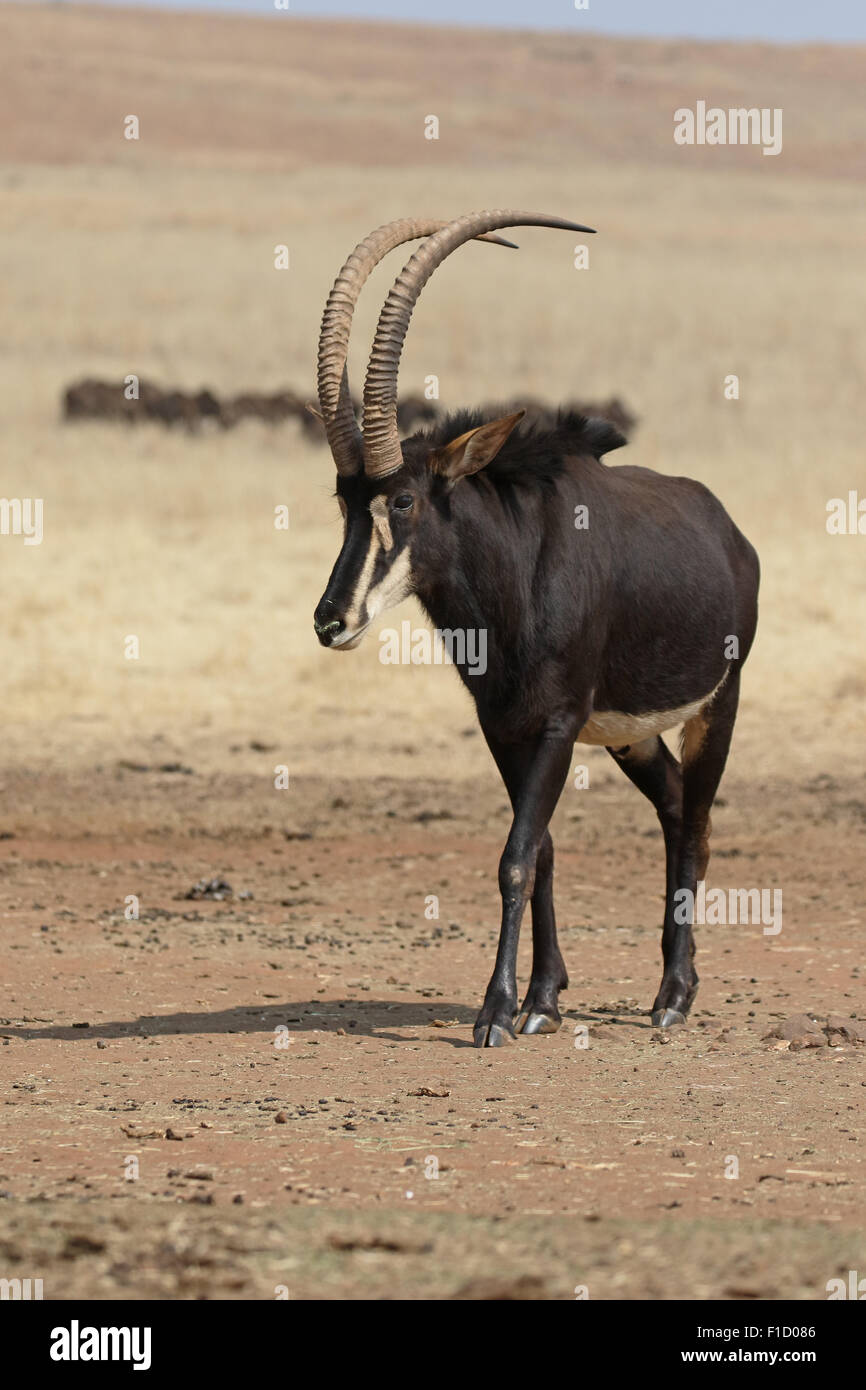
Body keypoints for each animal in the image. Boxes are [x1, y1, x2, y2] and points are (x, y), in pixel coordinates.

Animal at [315, 211, 761, 1045]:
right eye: (344, 501)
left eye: (405, 501)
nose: (333, 620)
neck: (514, 577)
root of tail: (729, 531)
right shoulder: (504, 726)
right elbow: (543, 849)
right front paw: (544, 998)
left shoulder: (555, 723)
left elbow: (516, 855)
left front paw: (496, 1011)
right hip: (628, 733)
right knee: (676, 806)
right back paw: (665, 983)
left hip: (718, 705)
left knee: (696, 821)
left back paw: (674, 996)